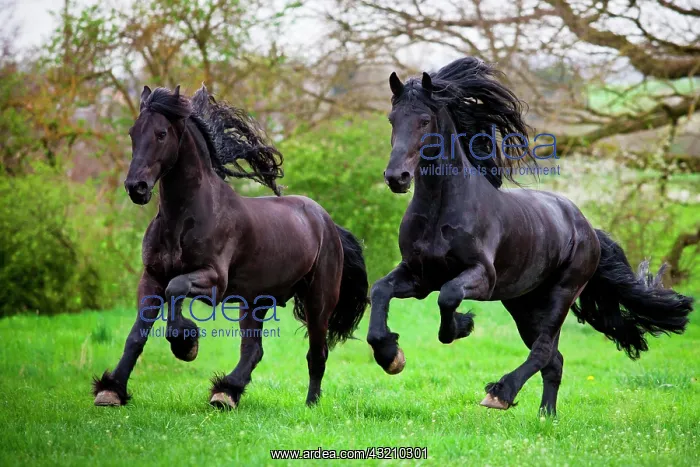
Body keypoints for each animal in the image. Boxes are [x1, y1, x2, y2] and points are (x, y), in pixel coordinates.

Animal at [92, 84, 369, 409]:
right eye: (132, 132)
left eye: (161, 133)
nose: (136, 188)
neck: (184, 219)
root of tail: (328, 223)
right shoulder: (151, 277)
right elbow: (137, 334)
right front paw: (111, 390)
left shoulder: (214, 281)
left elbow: (176, 288)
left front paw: (186, 344)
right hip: (256, 301)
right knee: (254, 349)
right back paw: (226, 393)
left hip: (318, 299)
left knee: (317, 353)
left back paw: (308, 405)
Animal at [367, 57, 694, 416]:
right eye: (392, 119)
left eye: (424, 120)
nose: (396, 177)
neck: (442, 211)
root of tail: (586, 227)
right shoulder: (419, 276)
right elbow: (379, 290)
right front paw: (390, 355)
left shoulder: (481, 277)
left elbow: (449, 297)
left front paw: (463, 325)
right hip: (523, 303)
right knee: (554, 359)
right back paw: (545, 417)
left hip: (560, 295)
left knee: (543, 351)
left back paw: (500, 393)